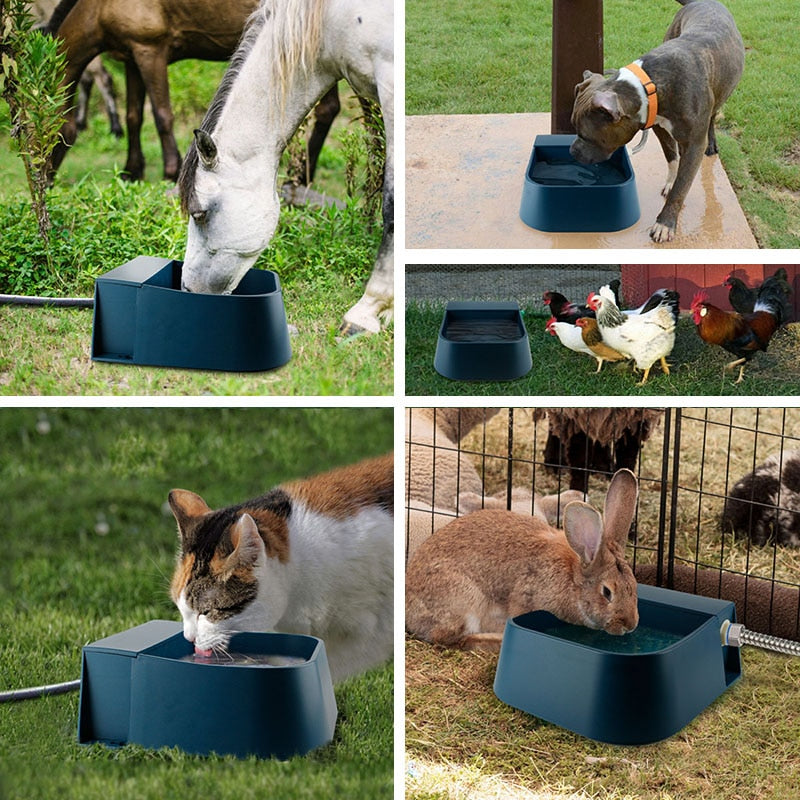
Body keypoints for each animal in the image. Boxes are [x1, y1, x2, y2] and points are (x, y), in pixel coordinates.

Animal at [46, 0, 340, 182]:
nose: (43, 181)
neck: (98, 7)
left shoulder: (150, 52)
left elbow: (162, 115)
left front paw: (170, 171)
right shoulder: (132, 59)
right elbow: (134, 118)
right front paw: (132, 171)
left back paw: (300, 178)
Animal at [404, 468, 640, 648]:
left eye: (634, 586)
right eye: (607, 592)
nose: (630, 625)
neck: (572, 581)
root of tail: (409, 609)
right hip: (466, 600)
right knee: (455, 638)